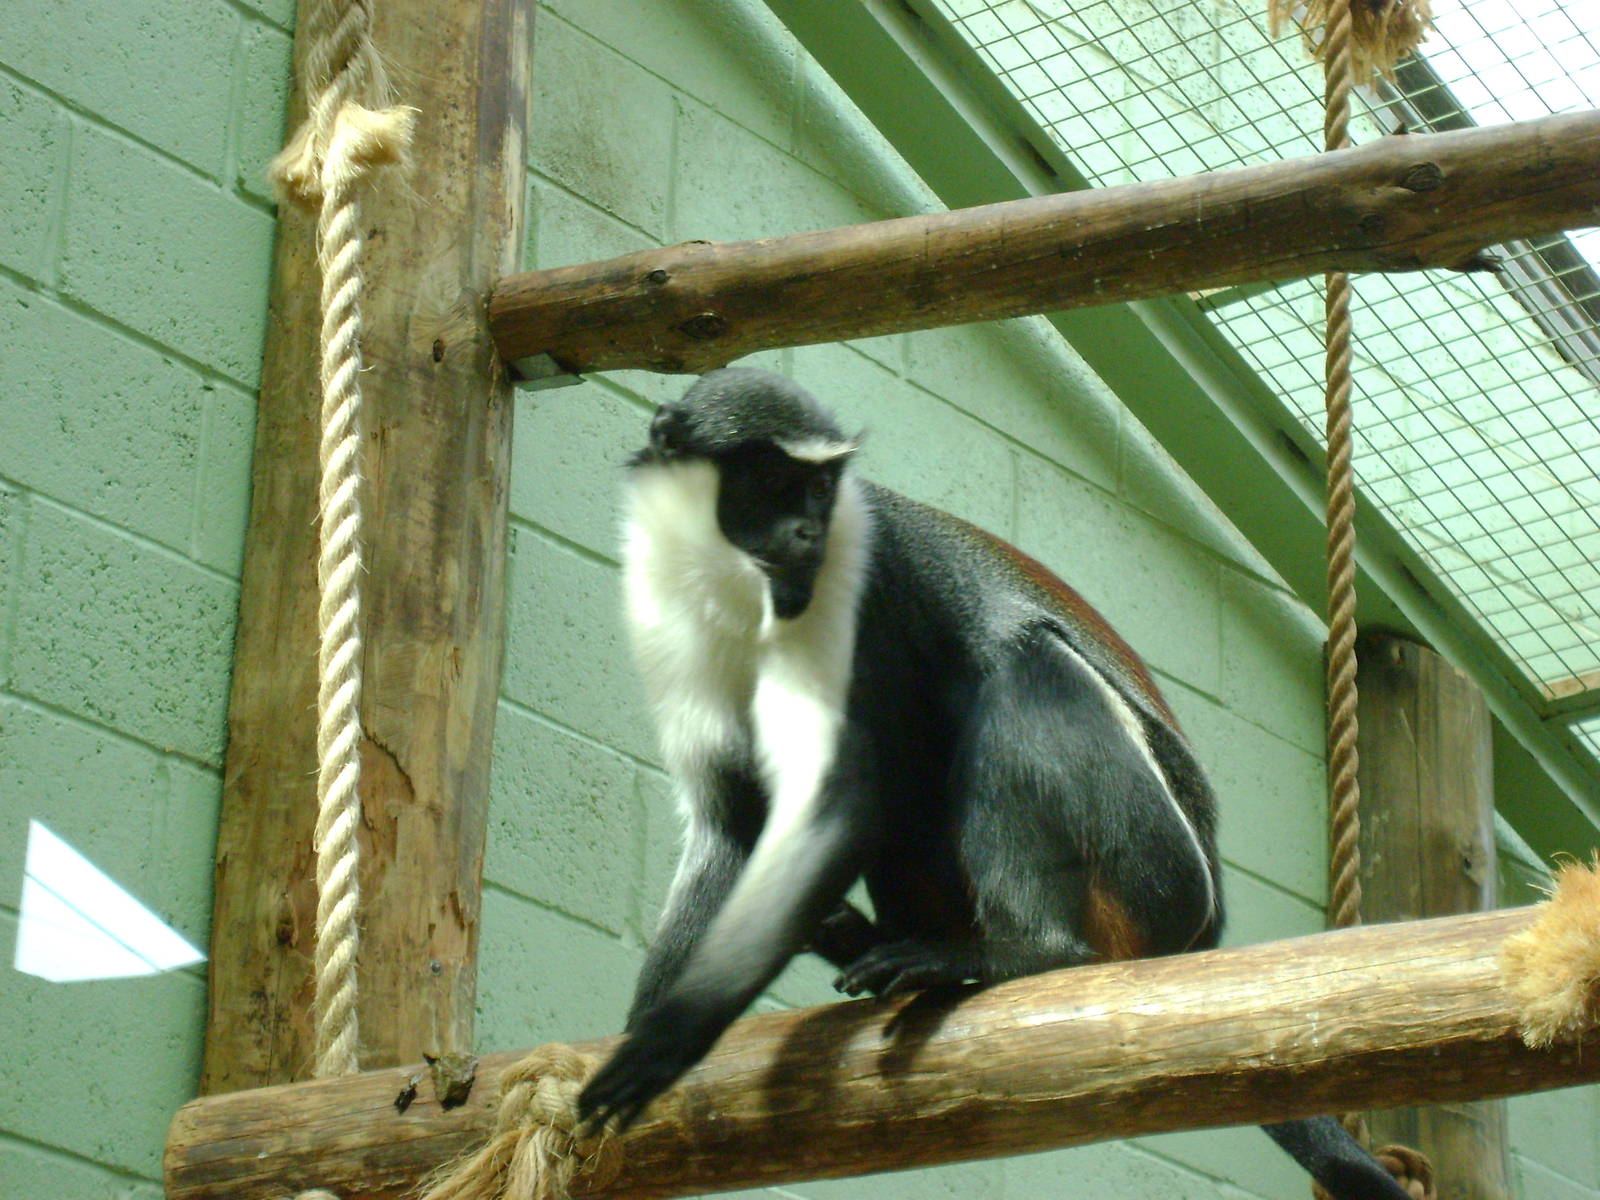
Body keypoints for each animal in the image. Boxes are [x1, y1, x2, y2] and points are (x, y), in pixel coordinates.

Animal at [575, 366, 1415, 1200]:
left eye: (819, 489)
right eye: (772, 482)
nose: (811, 532)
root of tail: (1204, 934)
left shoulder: (866, 592)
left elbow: (849, 795)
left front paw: (672, 1037)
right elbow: (730, 817)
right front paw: (648, 1027)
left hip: (1157, 877)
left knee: (1028, 664)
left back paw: (1026, 952)